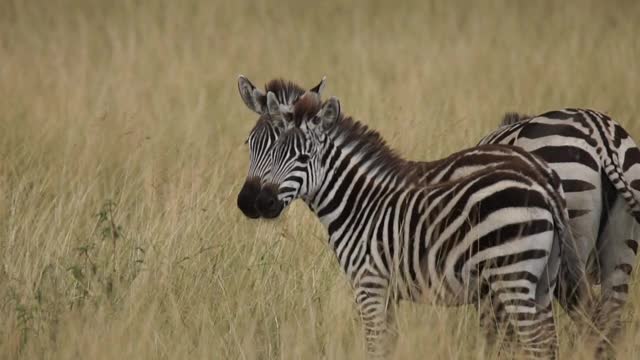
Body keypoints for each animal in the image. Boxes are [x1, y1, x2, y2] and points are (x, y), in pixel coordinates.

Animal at [254, 92, 576, 358]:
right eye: (270, 151)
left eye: (303, 157)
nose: (260, 201)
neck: (359, 206)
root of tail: (543, 185)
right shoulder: (387, 292)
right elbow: (387, 344)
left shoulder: (369, 285)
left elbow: (374, 346)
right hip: (542, 280)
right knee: (549, 341)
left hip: (513, 277)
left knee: (537, 343)